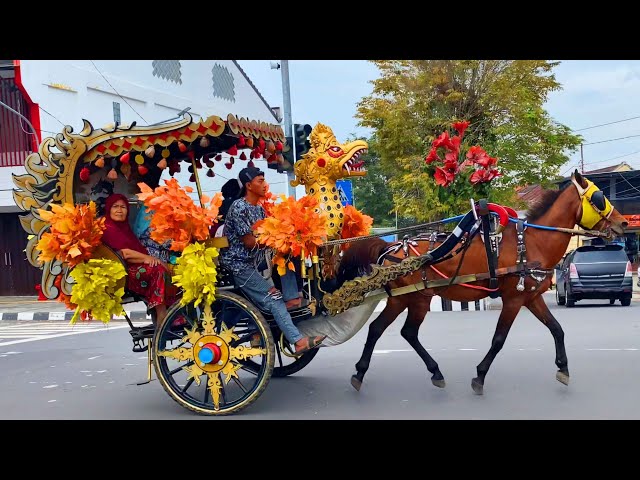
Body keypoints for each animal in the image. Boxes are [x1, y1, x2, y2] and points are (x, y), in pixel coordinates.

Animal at [332, 171, 628, 396]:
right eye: (599, 198)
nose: (624, 222)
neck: (531, 243)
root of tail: (390, 246)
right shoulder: (514, 300)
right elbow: (499, 339)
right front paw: (480, 376)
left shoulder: (531, 297)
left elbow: (557, 329)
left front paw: (563, 368)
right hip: (417, 298)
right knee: (406, 332)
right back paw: (432, 372)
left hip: (402, 298)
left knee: (379, 329)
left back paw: (363, 373)